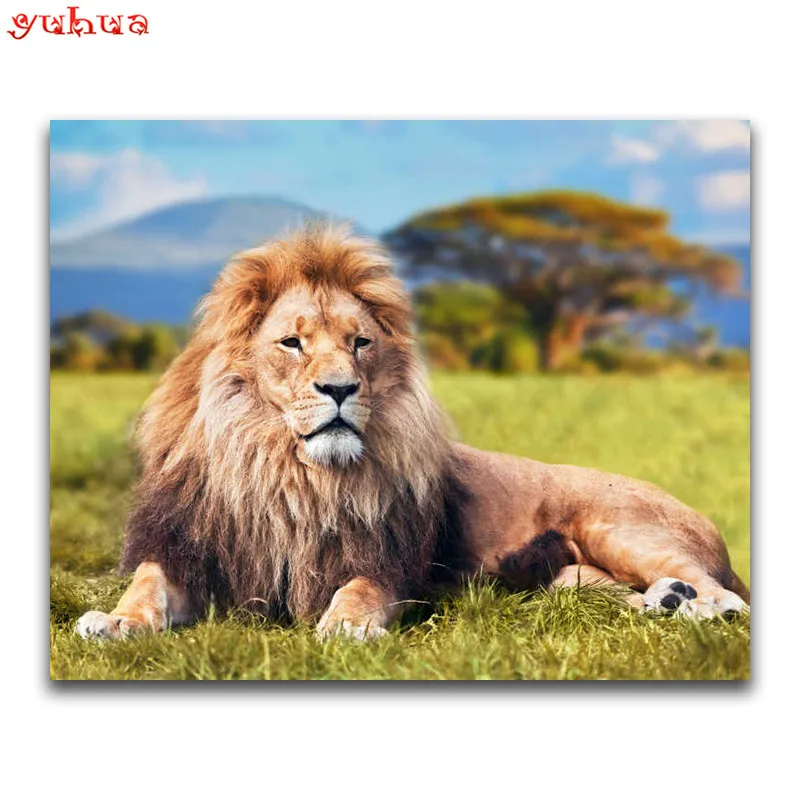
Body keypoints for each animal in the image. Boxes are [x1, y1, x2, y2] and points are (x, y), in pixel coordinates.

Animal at [76, 226, 749, 642]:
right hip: (570, 581)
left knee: (730, 598)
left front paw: (346, 626)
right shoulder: (190, 551)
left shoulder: (386, 562)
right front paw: (113, 622)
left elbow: (359, 590)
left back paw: (690, 604)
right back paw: (664, 601)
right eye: (292, 342)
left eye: (360, 343)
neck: (288, 474)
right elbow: (146, 585)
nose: (341, 389)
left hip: (620, 528)